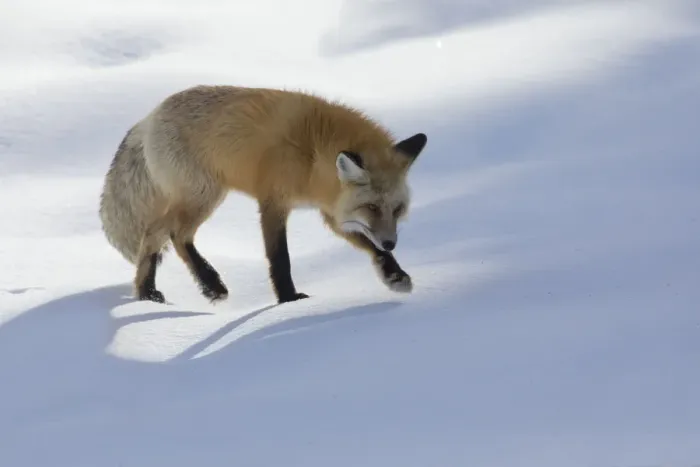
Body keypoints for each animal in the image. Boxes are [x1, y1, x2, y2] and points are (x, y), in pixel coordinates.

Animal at [99, 84, 428, 304]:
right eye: (372, 207)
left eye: (397, 209)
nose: (392, 242)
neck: (312, 153)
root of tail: (149, 117)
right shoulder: (273, 201)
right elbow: (279, 256)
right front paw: (289, 299)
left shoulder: (333, 212)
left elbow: (369, 246)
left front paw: (394, 274)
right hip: (203, 196)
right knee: (174, 235)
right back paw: (209, 285)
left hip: (199, 198)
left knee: (156, 234)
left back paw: (146, 292)